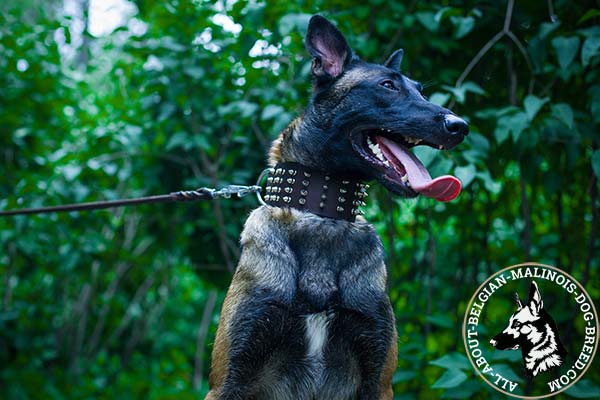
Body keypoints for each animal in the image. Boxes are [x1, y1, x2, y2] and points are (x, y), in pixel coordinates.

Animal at [206, 14, 468, 398]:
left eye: (420, 89)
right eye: (388, 85)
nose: (459, 126)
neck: (323, 211)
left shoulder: (378, 380)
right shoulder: (230, 379)